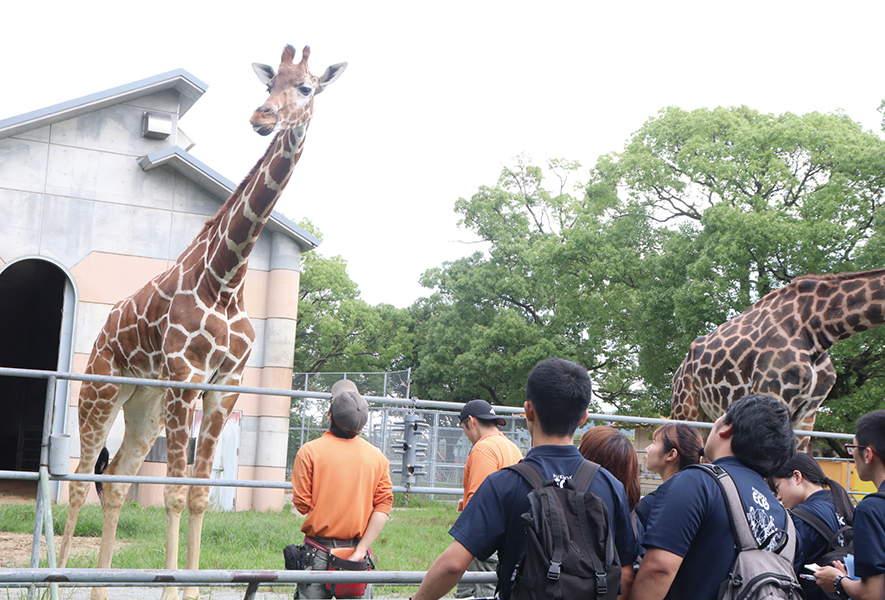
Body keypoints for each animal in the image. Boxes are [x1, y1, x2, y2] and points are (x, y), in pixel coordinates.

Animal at [57, 43, 346, 600]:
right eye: (268, 83)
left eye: (305, 87)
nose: (262, 117)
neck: (226, 280)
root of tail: (100, 336)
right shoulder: (185, 380)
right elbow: (172, 493)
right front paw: (171, 587)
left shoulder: (224, 385)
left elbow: (197, 494)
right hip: (102, 392)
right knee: (81, 479)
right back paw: (53, 583)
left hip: (145, 403)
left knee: (117, 479)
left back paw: (98, 587)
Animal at [668, 270, 884, 452]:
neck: (819, 330)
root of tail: (678, 372)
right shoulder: (772, 393)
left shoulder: (807, 415)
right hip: (686, 409)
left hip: (708, 415)